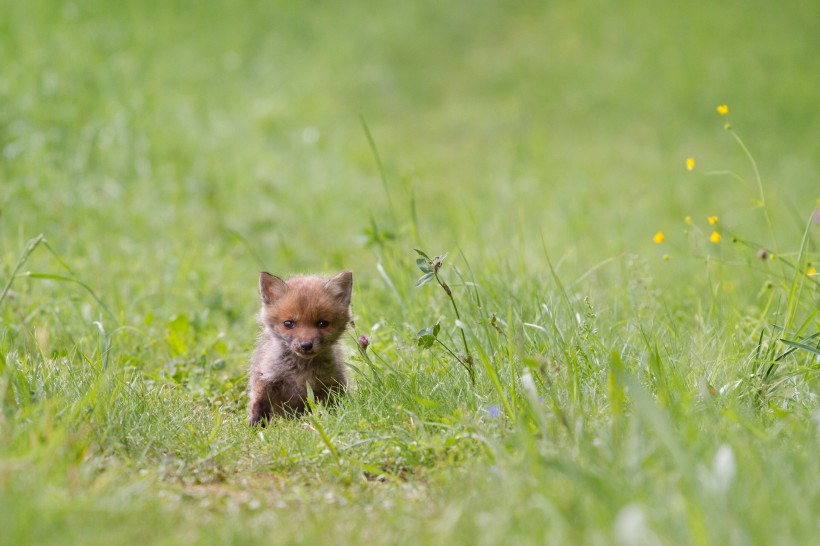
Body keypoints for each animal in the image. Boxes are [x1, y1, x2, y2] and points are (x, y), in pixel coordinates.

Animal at [250, 270, 352, 422]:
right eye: (288, 323)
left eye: (322, 323)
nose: (306, 345)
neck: (301, 370)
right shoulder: (266, 379)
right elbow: (259, 406)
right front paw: (255, 426)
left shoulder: (330, 383)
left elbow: (332, 407)